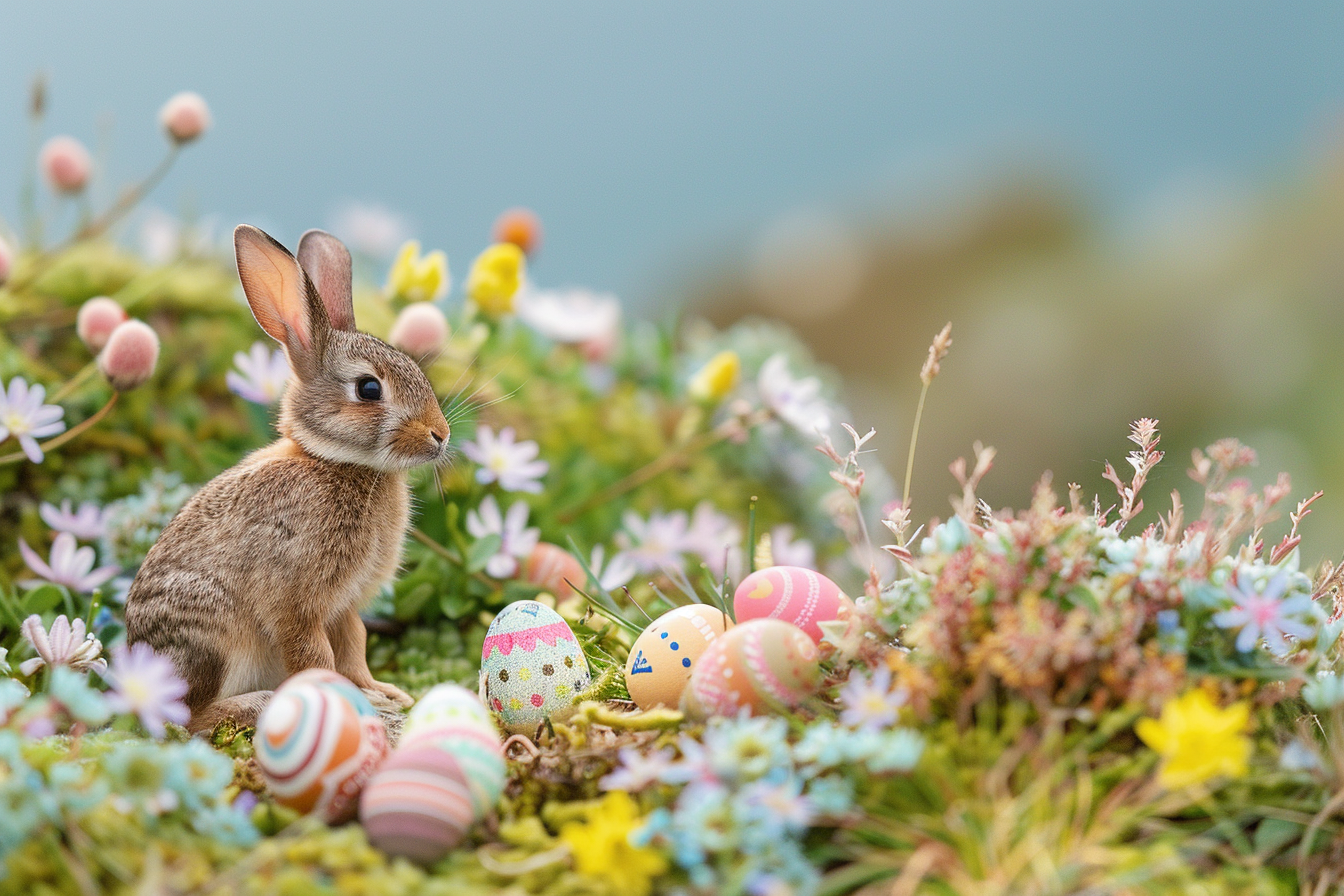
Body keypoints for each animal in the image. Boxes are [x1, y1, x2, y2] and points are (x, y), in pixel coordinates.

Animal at [124, 225, 450, 734]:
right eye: (369, 388)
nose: (441, 434)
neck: (337, 463)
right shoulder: (295, 602)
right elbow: (313, 653)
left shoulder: (344, 605)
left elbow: (354, 644)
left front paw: (382, 693)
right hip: (213, 635)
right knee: (189, 718)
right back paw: (254, 704)